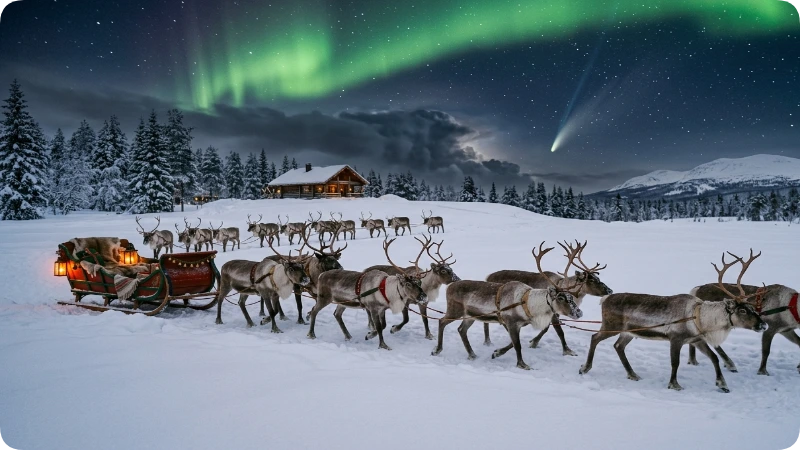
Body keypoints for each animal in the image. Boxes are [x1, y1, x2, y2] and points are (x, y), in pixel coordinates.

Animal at [431, 241, 583, 370]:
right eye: (561, 297)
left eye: (571, 297)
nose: (579, 313)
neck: (528, 303)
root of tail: (449, 286)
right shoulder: (510, 322)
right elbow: (517, 345)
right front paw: (522, 364)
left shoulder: (515, 324)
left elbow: (513, 343)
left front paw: (497, 352)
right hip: (454, 311)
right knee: (442, 321)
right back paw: (437, 350)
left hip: (470, 316)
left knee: (461, 330)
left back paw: (472, 354)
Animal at [483, 240, 612, 355]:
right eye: (592, 280)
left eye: (597, 278)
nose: (610, 290)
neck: (562, 285)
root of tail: (487, 277)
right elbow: (558, 331)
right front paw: (566, 350)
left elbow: (546, 328)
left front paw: (534, 341)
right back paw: (487, 342)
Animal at [579, 250, 767, 392]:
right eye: (742, 310)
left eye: (752, 307)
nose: (763, 324)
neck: (699, 317)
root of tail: (604, 299)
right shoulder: (676, 339)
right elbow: (675, 363)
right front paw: (674, 384)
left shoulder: (696, 340)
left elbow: (714, 358)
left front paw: (722, 384)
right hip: (611, 325)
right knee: (595, 338)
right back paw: (585, 368)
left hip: (628, 332)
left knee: (618, 346)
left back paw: (632, 374)